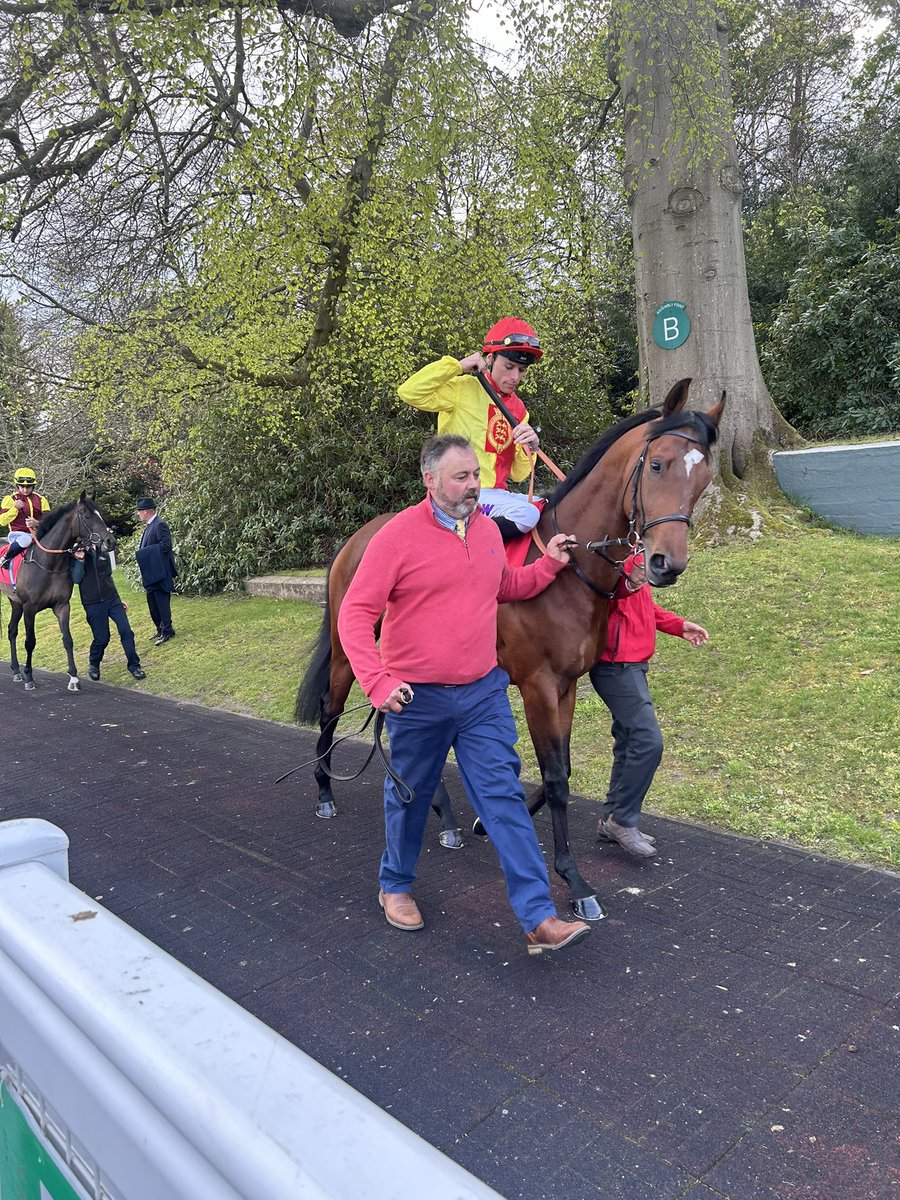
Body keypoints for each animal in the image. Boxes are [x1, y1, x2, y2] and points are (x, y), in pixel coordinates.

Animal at [0, 492, 118, 691]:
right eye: (87, 516)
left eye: (99, 514)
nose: (110, 541)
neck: (48, 565)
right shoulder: (29, 608)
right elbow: (30, 642)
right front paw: (29, 677)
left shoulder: (62, 605)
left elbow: (67, 639)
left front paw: (74, 678)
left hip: (15, 603)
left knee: (11, 630)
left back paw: (16, 670)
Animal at [296, 381, 724, 916]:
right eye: (658, 465)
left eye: (704, 478)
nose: (668, 562)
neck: (570, 571)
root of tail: (360, 536)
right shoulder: (538, 684)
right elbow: (557, 777)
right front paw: (574, 882)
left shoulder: (566, 686)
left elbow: (559, 768)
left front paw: (490, 820)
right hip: (346, 651)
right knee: (331, 708)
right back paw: (324, 792)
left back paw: (444, 814)